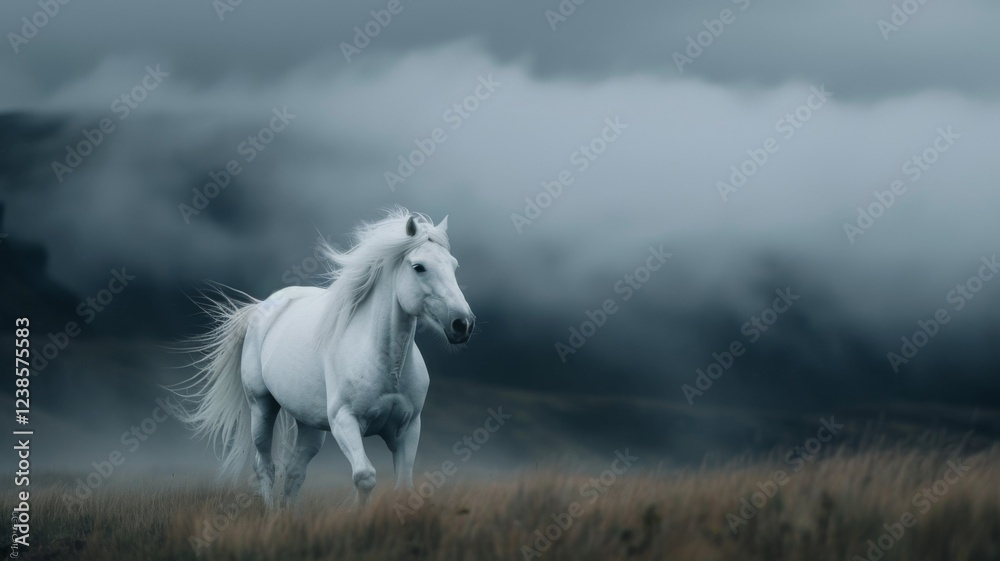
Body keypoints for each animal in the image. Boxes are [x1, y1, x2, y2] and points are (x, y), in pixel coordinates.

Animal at [174, 209, 475, 506]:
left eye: (454, 265)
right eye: (419, 267)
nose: (463, 323)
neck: (386, 363)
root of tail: (263, 307)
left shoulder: (408, 428)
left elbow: (403, 487)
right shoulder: (345, 421)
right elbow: (364, 477)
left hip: (309, 424)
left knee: (294, 473)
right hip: (261, 407)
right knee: (265, 466)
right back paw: (270, 513)